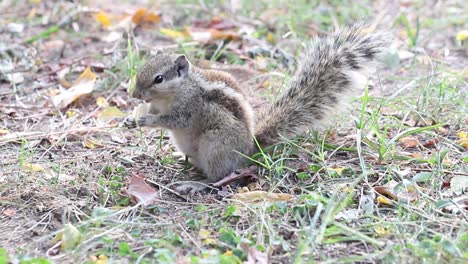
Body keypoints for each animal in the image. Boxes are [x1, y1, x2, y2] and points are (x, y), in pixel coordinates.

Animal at [123, 23, 388, 194]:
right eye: (143, 68)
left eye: (158, 79)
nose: (135, 94)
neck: (176, 91)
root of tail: (249, 150)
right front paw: (130, 119)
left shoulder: (189, 108)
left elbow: (172, 120)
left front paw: (145, 121)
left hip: (215, 146)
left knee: (218, 177)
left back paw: (196, 184)